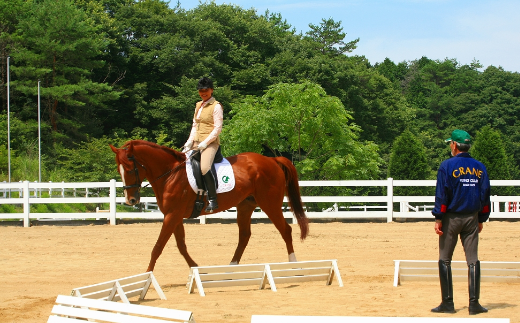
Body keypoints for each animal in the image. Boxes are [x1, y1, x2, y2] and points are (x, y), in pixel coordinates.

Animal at [107, 140, 306, 272]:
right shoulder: (174, 216)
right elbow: (181, 245)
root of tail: (272, 160)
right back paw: (232, 266)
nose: (131, 200)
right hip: (245, 206)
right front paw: (195, 268)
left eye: (130, 169)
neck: (170, 174)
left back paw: (293, 263)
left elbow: (158, 247)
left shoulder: (172, 215)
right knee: (244, 235)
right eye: (119, 169)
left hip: (269, 204)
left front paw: (147, 276)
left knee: (285, 229)